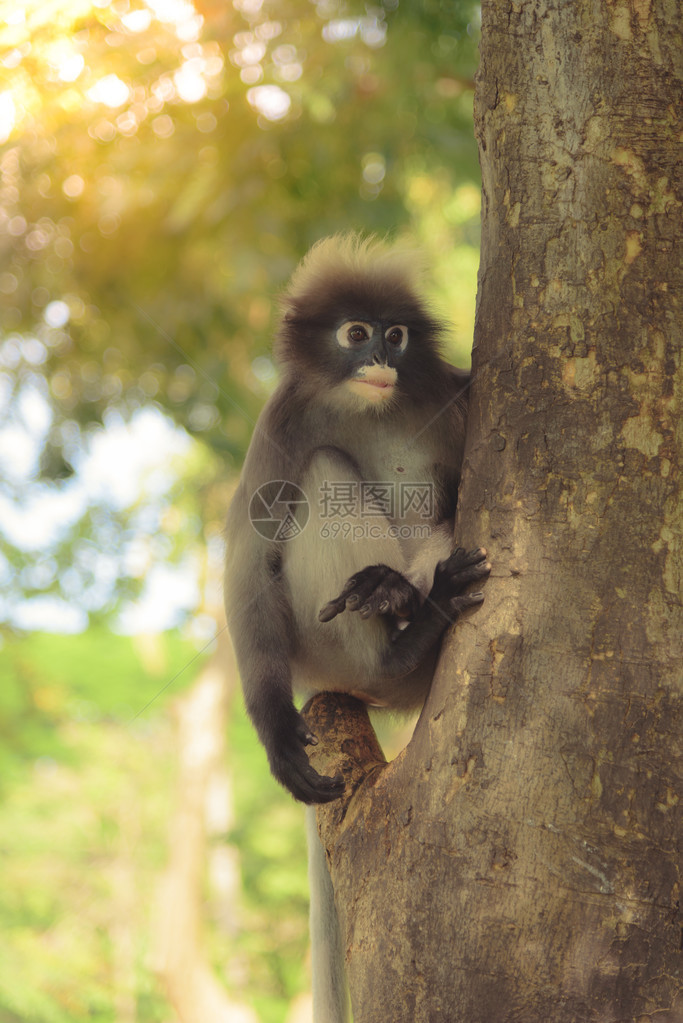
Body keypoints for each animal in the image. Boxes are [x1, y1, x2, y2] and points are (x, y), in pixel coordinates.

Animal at [224, 234, 490, 806]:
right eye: (357, 333)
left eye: (395, 335)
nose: (380, 358)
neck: (368, 408)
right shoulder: (280, 419)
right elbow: (251, 559)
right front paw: (276, 732)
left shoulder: (454, 395)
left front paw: (396, 588)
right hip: (324, 650)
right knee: (325, 465)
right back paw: (400, 644)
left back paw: (407, 598)